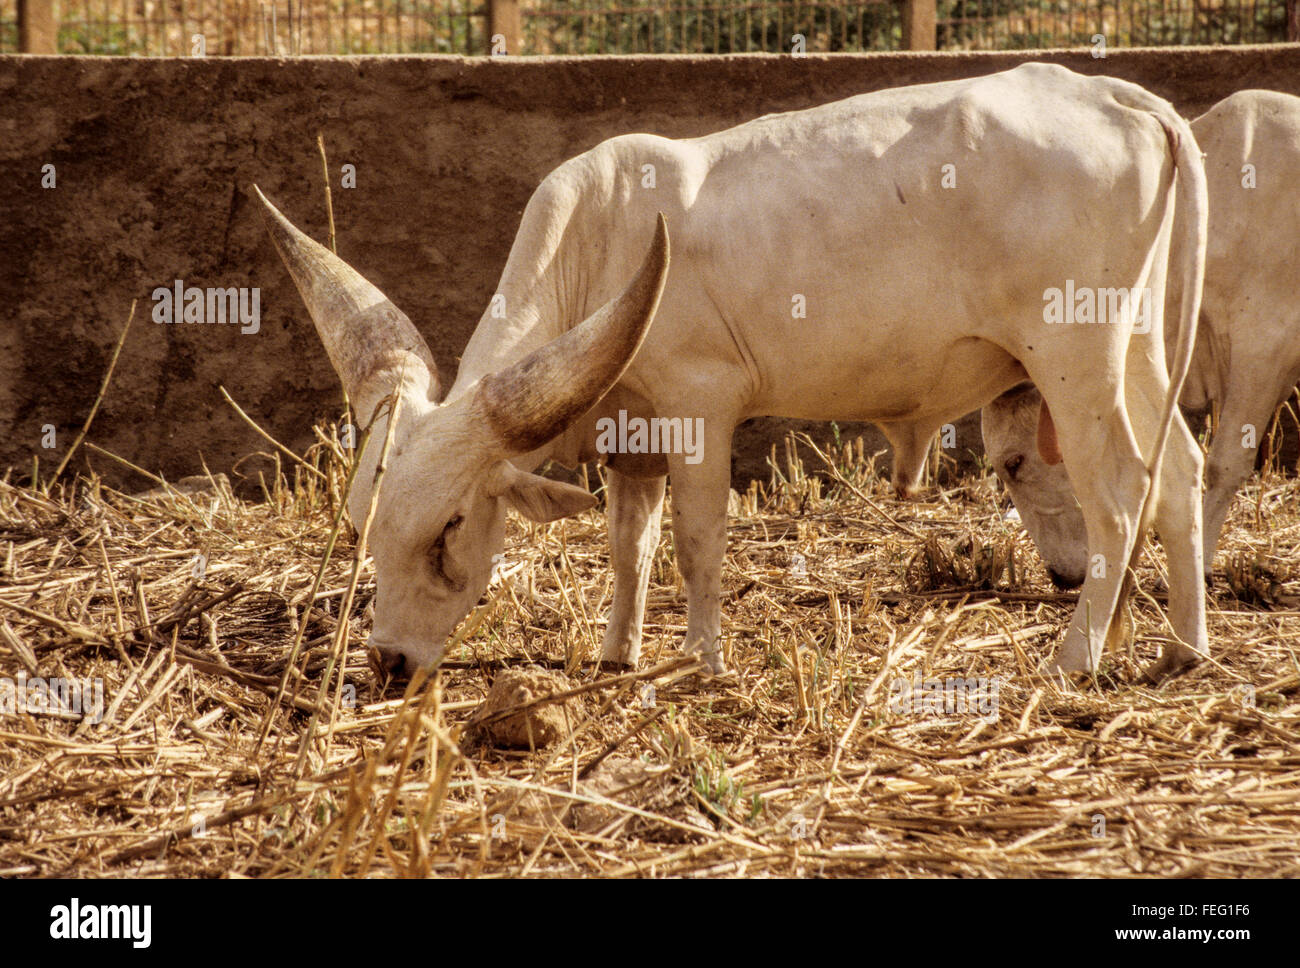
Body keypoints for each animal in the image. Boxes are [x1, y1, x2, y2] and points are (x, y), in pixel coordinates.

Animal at [253, 62, 1206, 680]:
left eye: (449, 529)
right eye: (361, 526)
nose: (388, 662)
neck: (598, 246)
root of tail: (1121, 96)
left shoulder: (700, 408)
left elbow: (696, 540)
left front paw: (702, 660)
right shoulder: (631, 437)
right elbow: (629, 546)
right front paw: (618, 653)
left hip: (1074, 356)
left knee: (1122, 491)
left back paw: (1078, 657)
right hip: (1134, 346)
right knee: (1182, 473)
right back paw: (1181, 650)